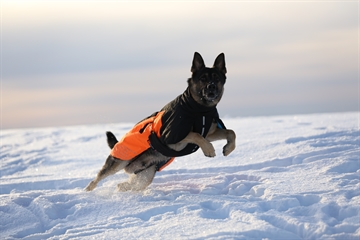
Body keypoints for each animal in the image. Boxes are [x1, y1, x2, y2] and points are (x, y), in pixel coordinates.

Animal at [84, 52, 236, 191]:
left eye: (217, 79)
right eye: (203, 78)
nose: (211, 87)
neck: (200, 109)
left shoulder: (209, 134)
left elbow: (231, 132)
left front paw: (228, 149)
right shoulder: (172, 137)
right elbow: (195, 134)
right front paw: (209, 150)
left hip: (147, 174)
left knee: (129, 185)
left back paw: (121, 187)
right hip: (119, 162)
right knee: (97, 179)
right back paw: (87, 192)